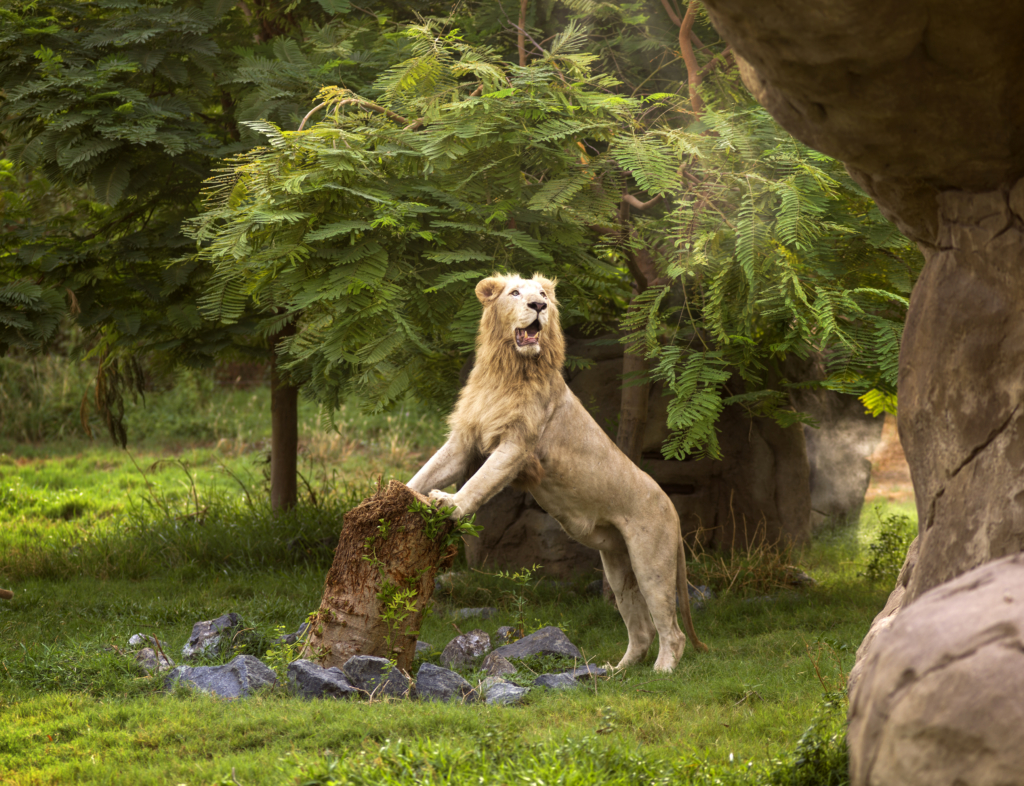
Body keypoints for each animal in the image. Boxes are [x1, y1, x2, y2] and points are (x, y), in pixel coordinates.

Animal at [407, 274, 704, 671]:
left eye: (543, 295)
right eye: (516, 293)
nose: (538, 306)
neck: (507, 370)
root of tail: (672, 507)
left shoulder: (518, 446)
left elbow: (479, 482)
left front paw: (449, 503)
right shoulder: (464, 441)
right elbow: (427, 471)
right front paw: (394, 493)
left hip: (651, 562)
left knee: (672, 630)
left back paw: (663, 671)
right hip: (617, 565)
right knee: (641, 630)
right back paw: (616, 671)